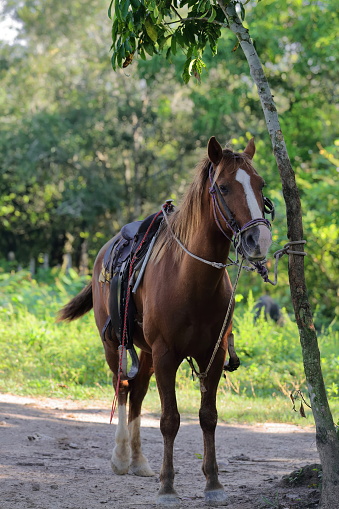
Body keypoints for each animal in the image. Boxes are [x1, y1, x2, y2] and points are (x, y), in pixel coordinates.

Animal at [59, 136, 274, 504]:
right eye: (224, 187)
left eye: (260, 185)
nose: (257, 240)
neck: (191, 279)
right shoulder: (166, 355)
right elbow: (170, 420)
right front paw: (168, 487)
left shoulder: (212, 355)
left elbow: (208, 417)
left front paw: (213, 484)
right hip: (115, 346)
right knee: (123, 387)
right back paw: (121, 457)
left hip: (144, 353)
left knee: (138, 394)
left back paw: (139, 461)